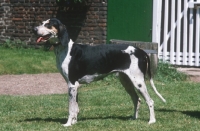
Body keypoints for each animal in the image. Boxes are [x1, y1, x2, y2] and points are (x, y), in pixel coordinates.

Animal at [32, 17, 166, 126]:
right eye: (42, 23)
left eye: (48, 25)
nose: (34, 29)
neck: (66, 49)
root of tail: (141, 51)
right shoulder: (75, 86)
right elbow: (76, 107)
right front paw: (74, 122)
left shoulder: (72, 85)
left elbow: (71, 108)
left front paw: (68, 124)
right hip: (126, 82)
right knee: (136, 100)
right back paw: (134, 118)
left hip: (138, 83)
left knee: (150, 101)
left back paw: (152, 121)